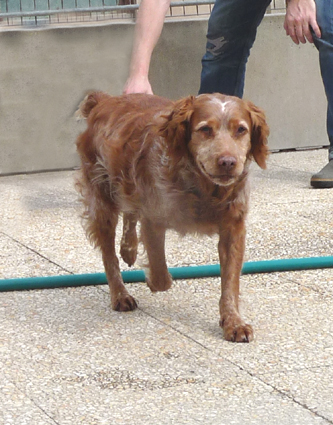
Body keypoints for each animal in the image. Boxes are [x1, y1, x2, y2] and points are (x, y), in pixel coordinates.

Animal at [75, 92, 268, 342]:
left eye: (241, 130)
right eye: (205, 129)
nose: (228, 162)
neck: (203, 188)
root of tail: (104, 100)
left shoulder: (233, 228)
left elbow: (230, 282)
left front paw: (233, 322)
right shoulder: (153, 219)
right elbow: (161, 277)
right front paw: (149, 278)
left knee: (130, 214)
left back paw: (129, 250)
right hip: (102, 201)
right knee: (110, 256)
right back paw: (120, 294)